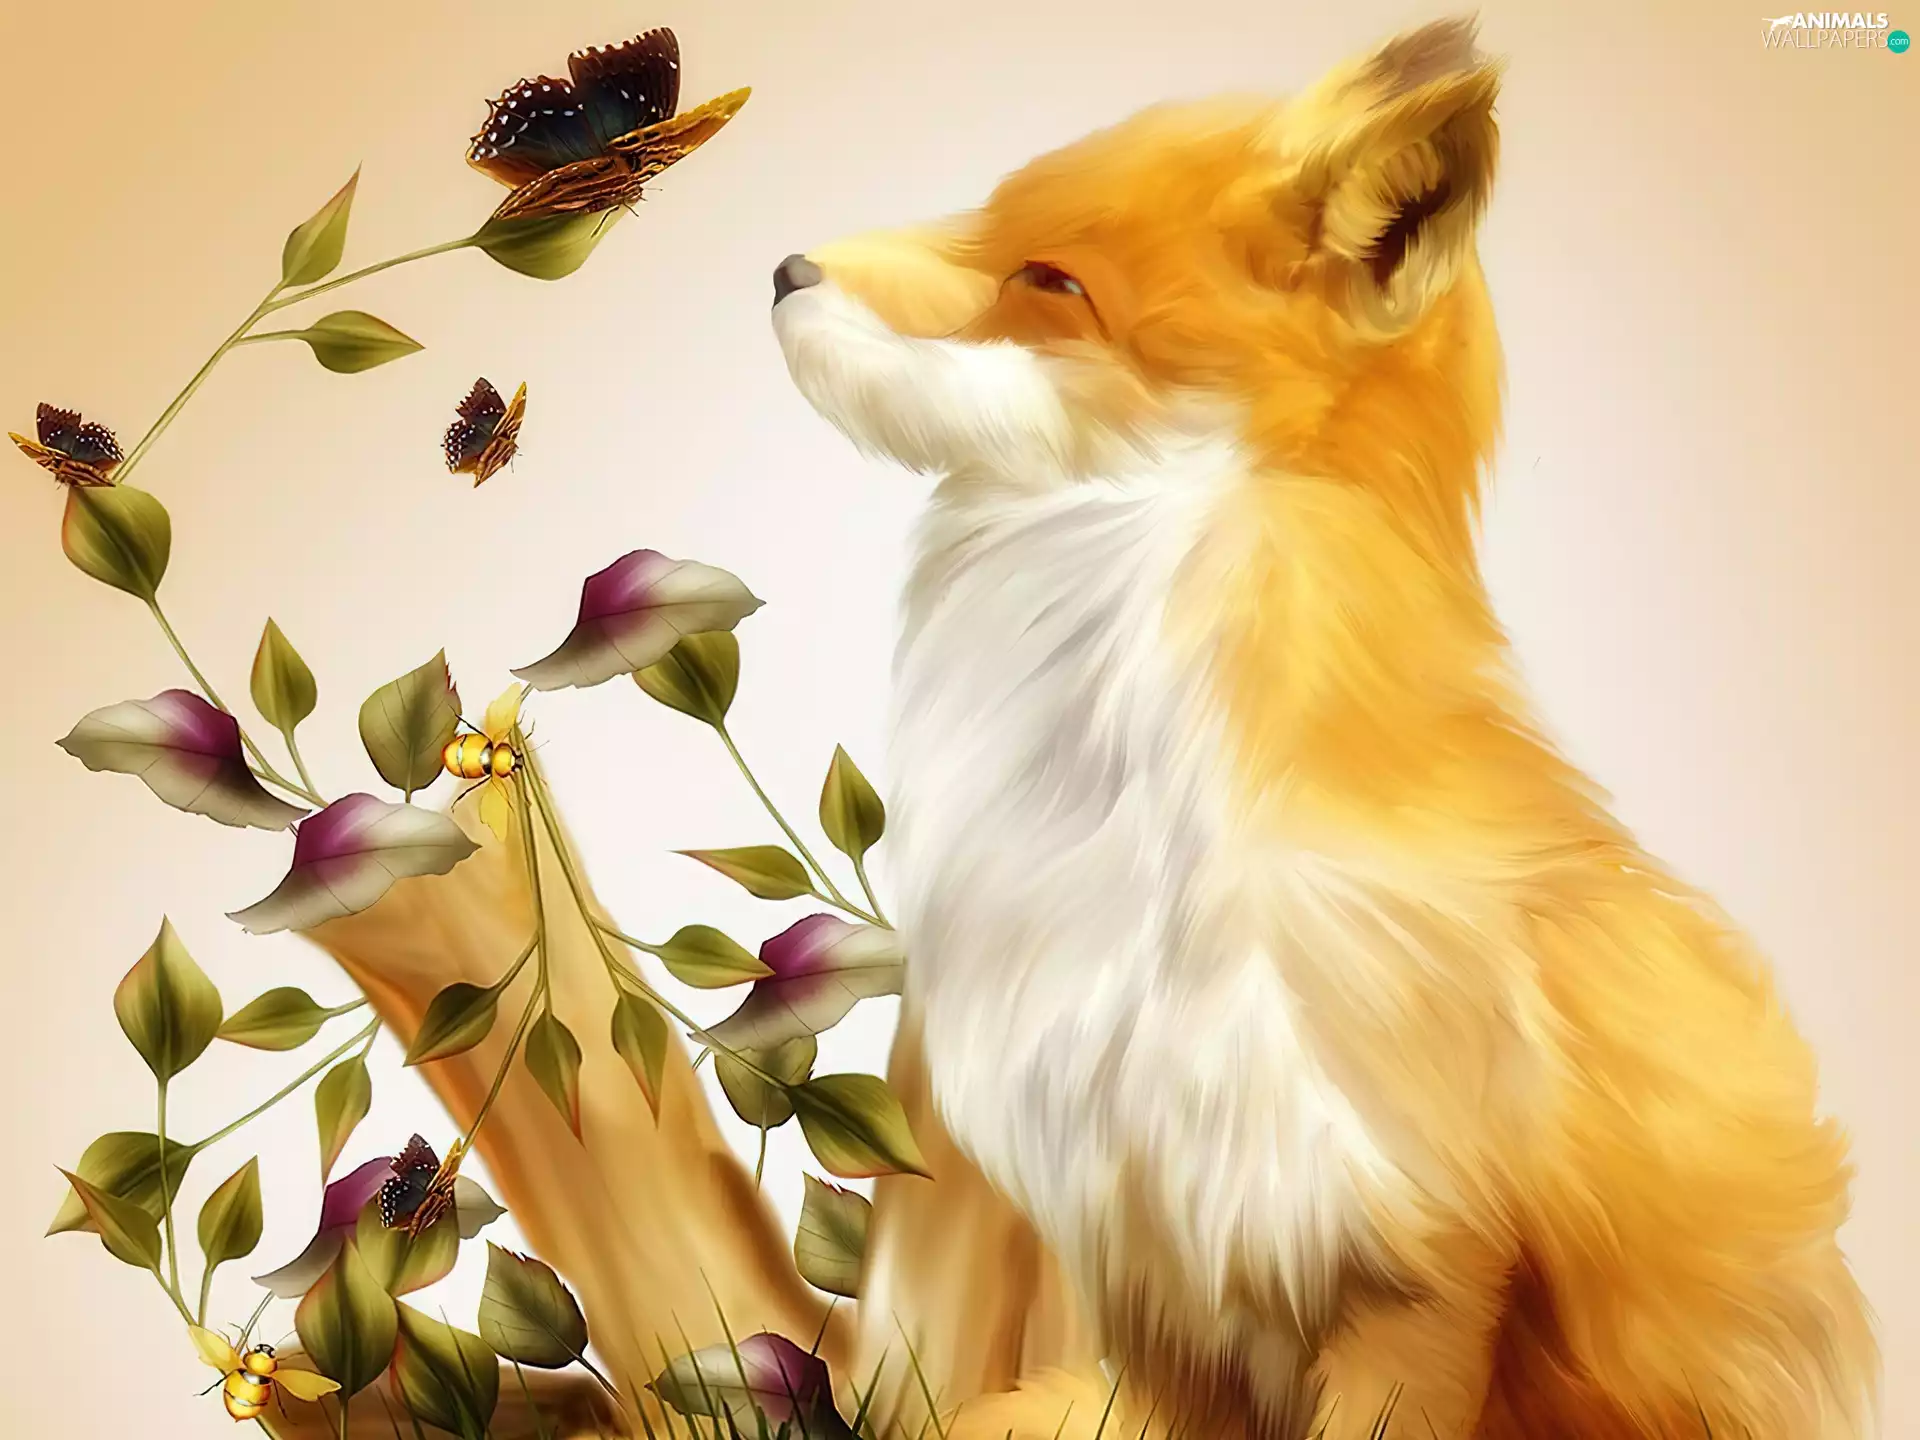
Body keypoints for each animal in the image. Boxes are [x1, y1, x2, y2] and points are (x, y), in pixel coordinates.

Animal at [769, 16, 1878, 1440]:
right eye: (987, 210)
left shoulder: (1412, 1272)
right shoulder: (1135, 1255)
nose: (783, 269)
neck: (1139, 858)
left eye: (1050, 279)